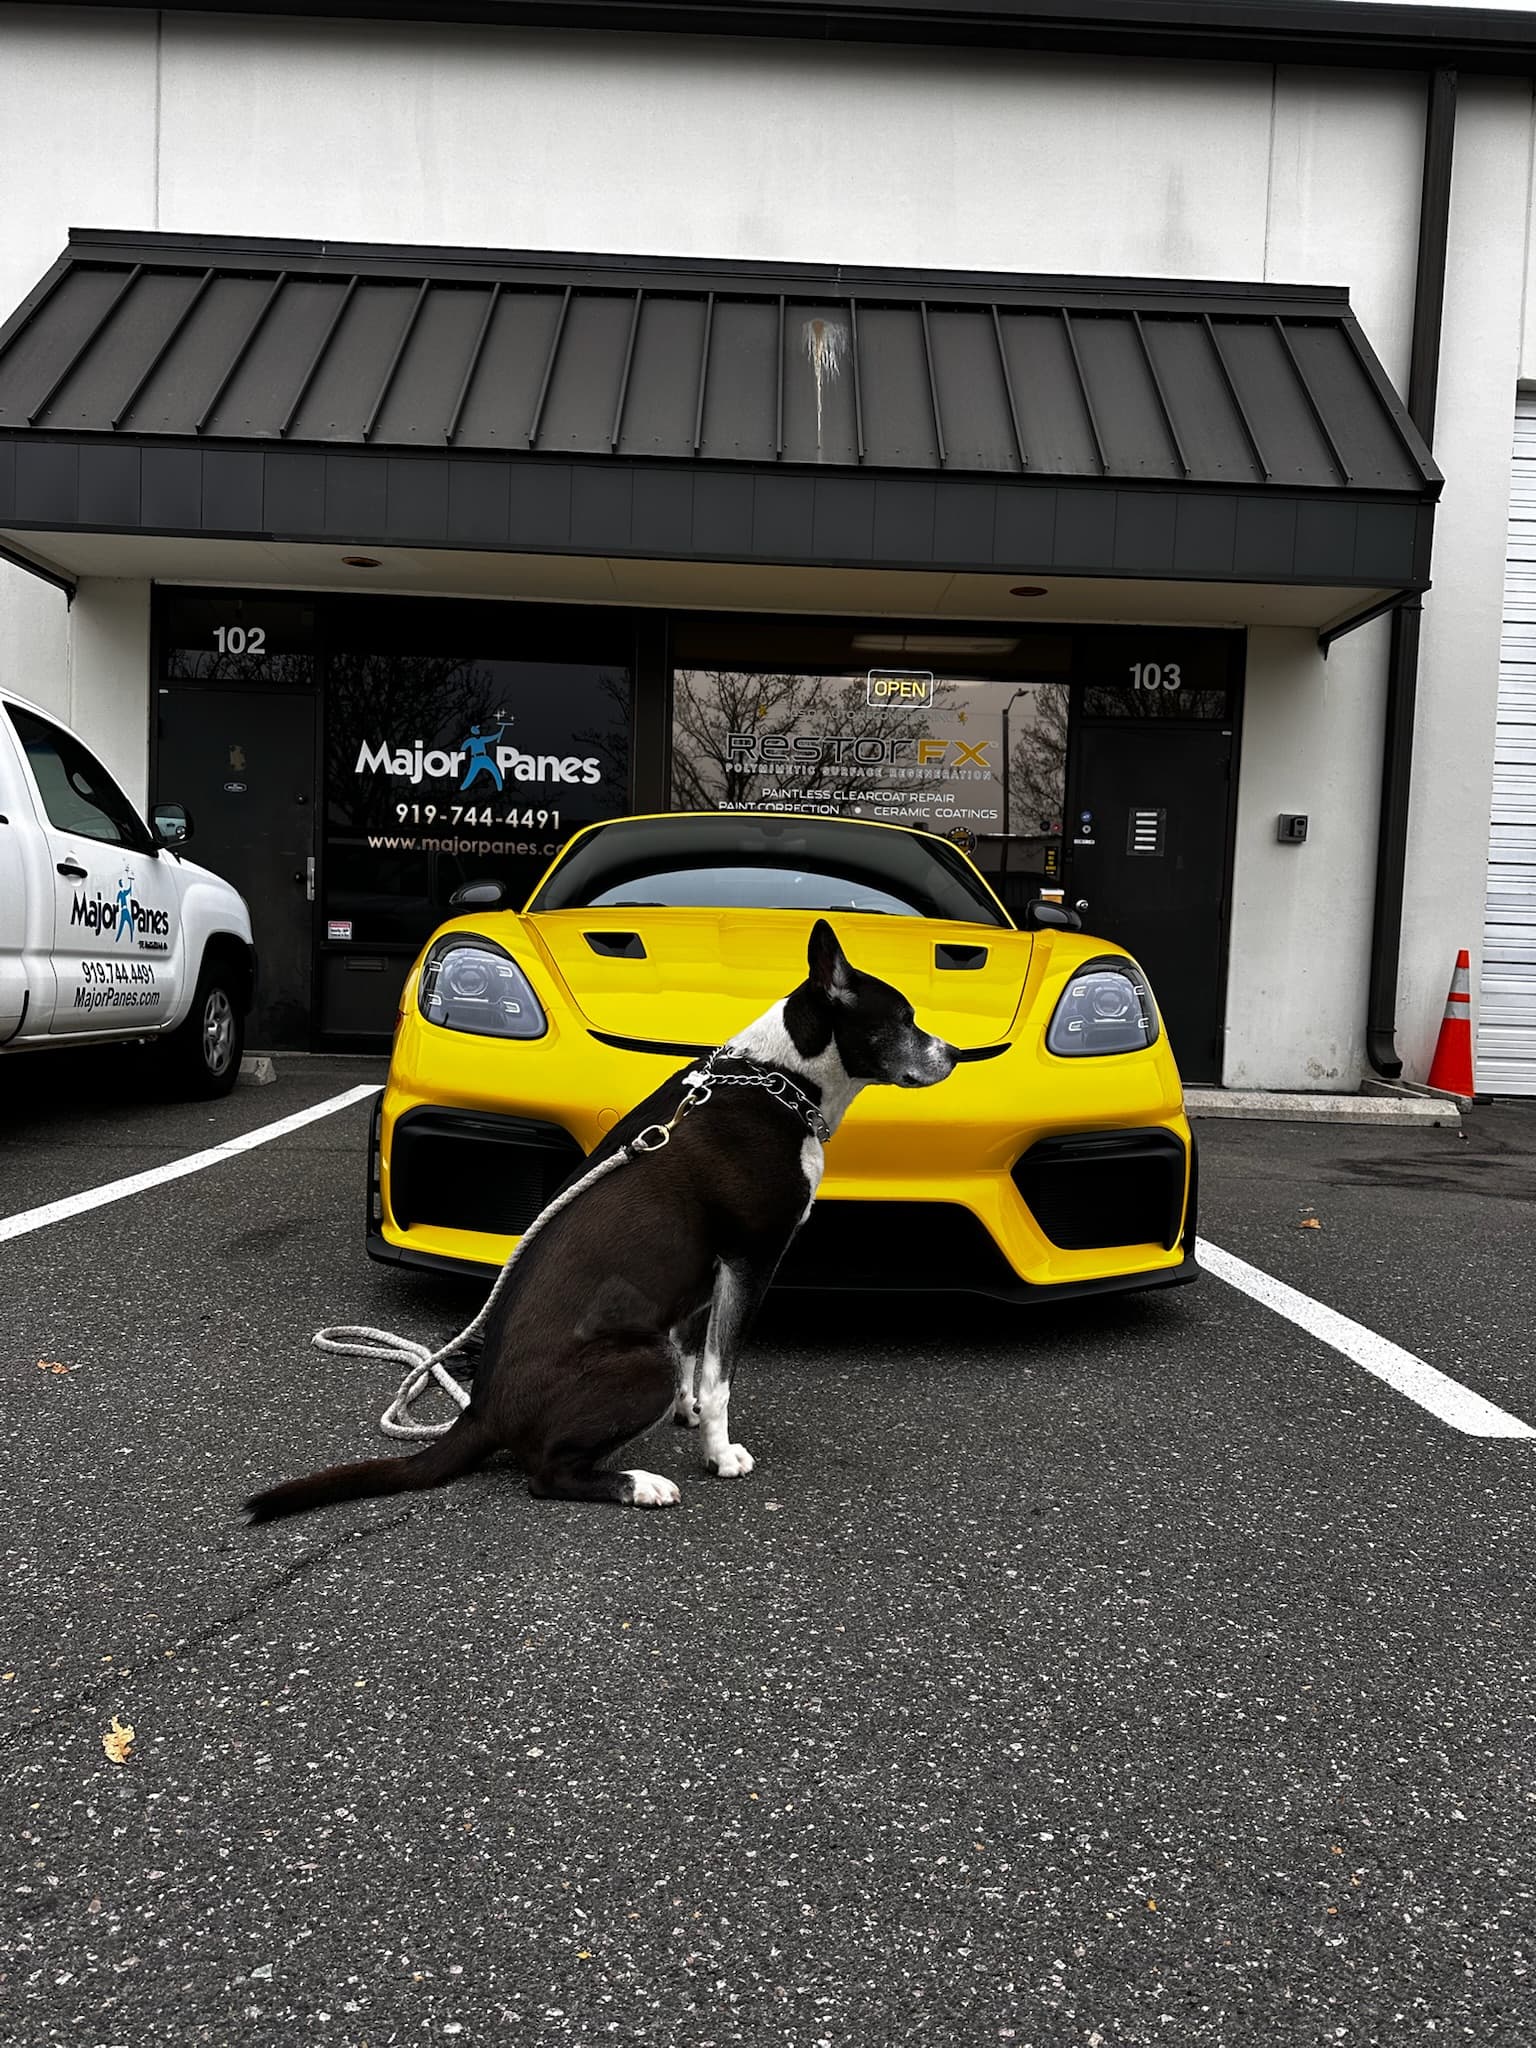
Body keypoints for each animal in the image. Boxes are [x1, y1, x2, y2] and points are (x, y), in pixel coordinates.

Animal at [246, 919, 957, 1523]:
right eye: (903, 1019)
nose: (953, 1054)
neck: (781, 1077)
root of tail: (481, 1410)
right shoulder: (750, 1259)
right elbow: (720, 1373)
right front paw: (718, 1452)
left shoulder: (704, 1273)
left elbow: (696, 1355)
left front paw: (688, 1415)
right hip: (640, 1361)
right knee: (544, 1474)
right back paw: (638, 1484)